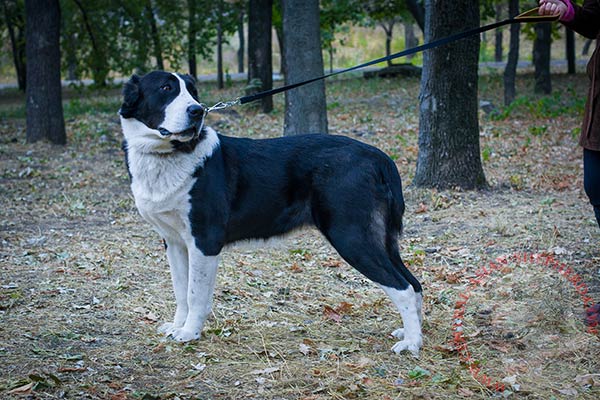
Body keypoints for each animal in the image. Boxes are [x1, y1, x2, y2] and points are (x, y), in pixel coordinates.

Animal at [119, 71, 424, 356]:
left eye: (192, 92)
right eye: (166, 88)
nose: (196, 110)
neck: (171, 153)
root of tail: (378, 157)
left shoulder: (204, 241)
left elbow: (195, 294)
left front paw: (190, 333)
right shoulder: (175, 242)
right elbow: (181, 291)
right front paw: (177, 326)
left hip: (351, 236)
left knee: (403, 287)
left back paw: (411, 343)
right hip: (378, 238)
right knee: (414, 282)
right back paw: (414, 334)